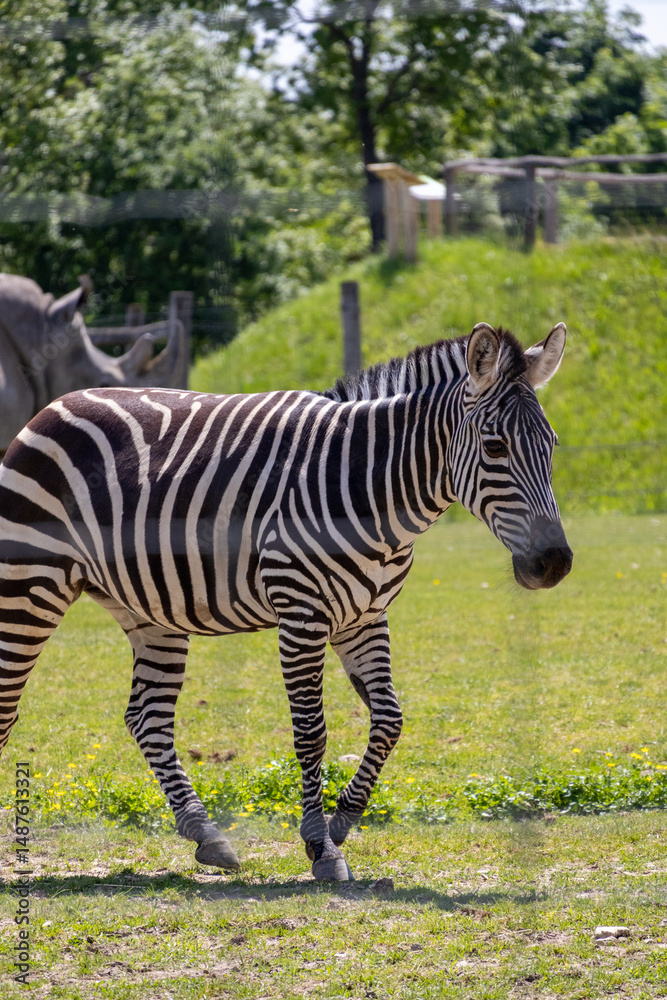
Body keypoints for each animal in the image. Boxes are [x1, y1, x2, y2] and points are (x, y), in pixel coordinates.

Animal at [0, 321, 572, 881]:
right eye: (495, 448)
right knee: (11, 702)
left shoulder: (365, 617)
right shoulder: (301, 613)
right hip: (30, 585)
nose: (556, 563)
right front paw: (321, 847)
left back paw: (206, 834)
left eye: (552, 445)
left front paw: (342, 822)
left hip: (148, 608)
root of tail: (55, 403)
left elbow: (389, 720)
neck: (374, 491)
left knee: (148, 717)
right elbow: (311, 733)